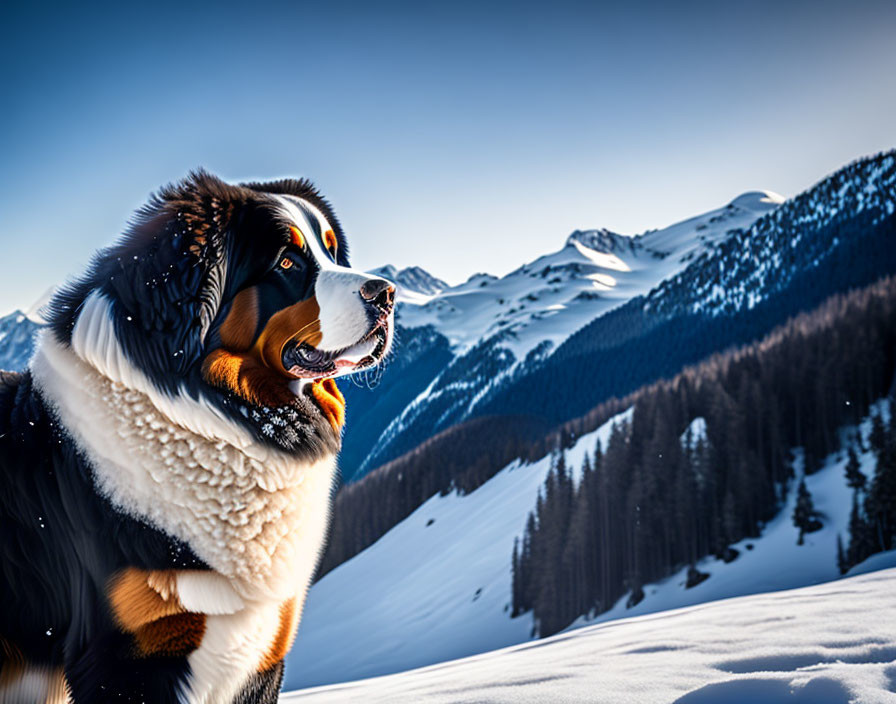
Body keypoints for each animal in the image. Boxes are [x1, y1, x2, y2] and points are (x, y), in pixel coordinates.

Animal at [0, 172, 396, 704]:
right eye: (287, 261)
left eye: (333, 253)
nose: (387, 293)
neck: (211, 416)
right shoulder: (128, 656)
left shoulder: (263, 649)